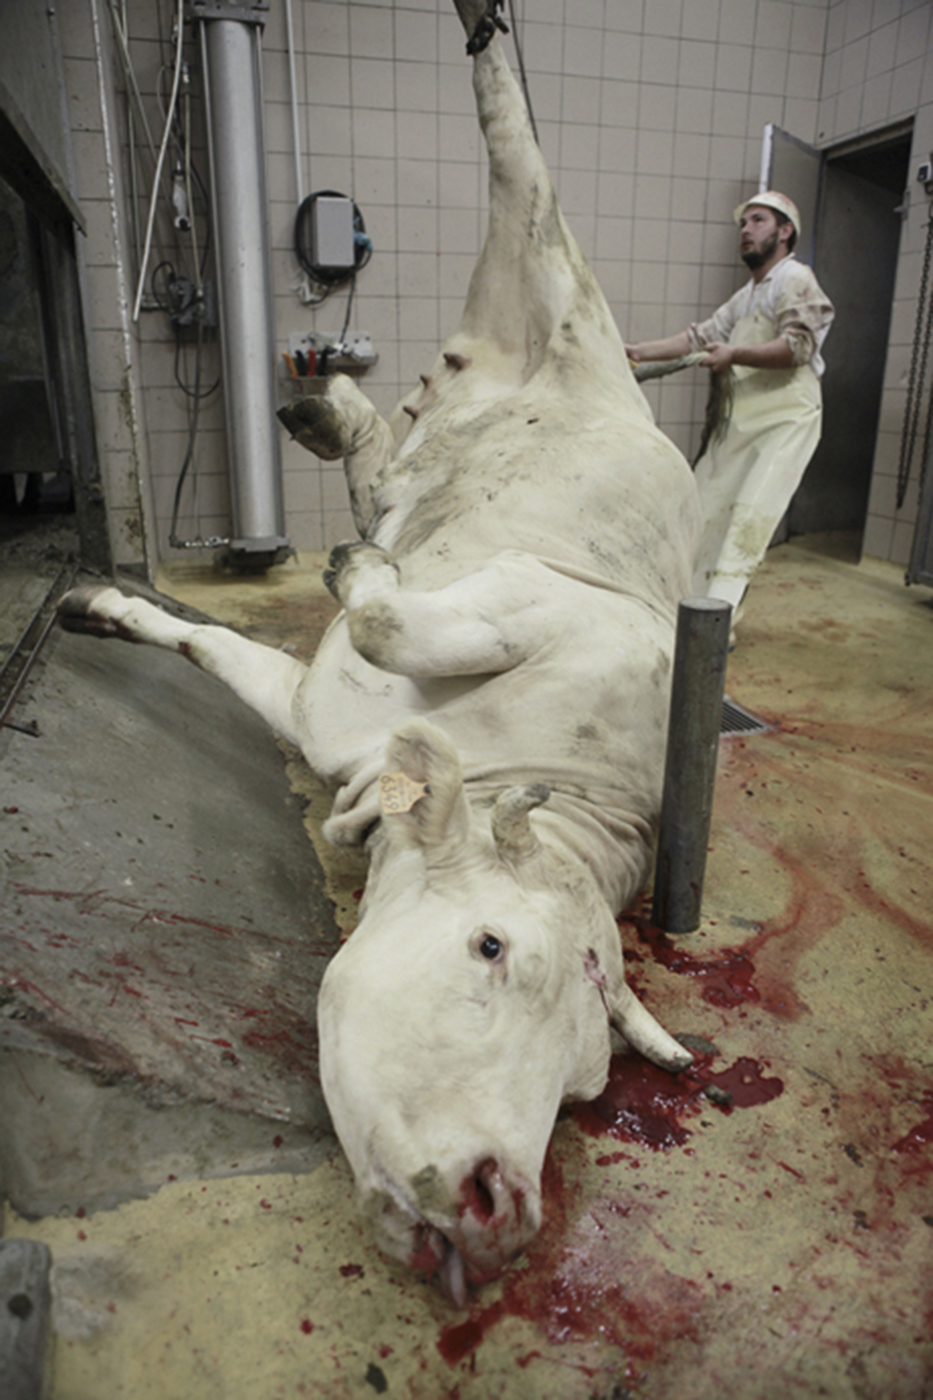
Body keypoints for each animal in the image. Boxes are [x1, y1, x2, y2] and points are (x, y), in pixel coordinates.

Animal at [58, 0, 699, 1306]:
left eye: (583, 1087)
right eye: (492, 946)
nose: (505, 1210)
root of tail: (607, 392)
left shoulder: (315, 708)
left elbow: (226, 640)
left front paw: (110, 605)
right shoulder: (553, 608)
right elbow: (381, 615)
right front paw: (346, 576)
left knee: (386, 449)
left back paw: (327, 413)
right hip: (566, 299)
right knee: (518, 153)